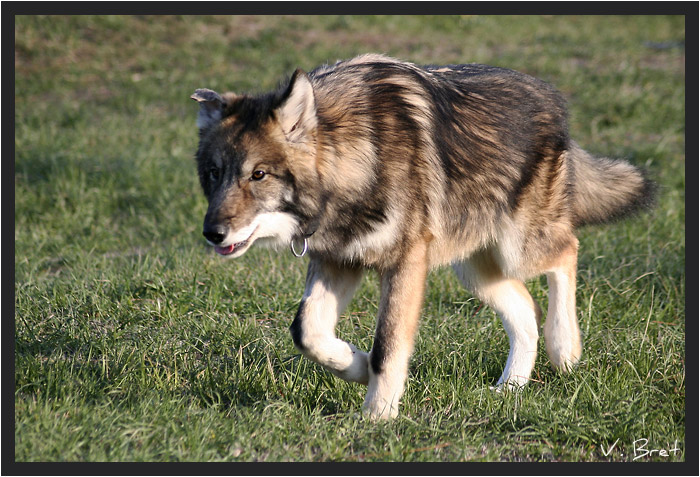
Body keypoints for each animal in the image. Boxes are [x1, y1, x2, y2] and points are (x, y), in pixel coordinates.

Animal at [190, 54, 655, 419]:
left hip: (518, 249)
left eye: (258, 174)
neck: (359, 155)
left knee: (568, 252)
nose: (212, 234)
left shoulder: (405, 264)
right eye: (214, 173)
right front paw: (356, 366)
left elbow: (388, 345)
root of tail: (551, 97)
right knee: (526, 309)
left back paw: (565, 349)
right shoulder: (339, 261)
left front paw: (377, 417)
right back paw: (509, 389)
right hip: (474, 270)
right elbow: (307, 332)